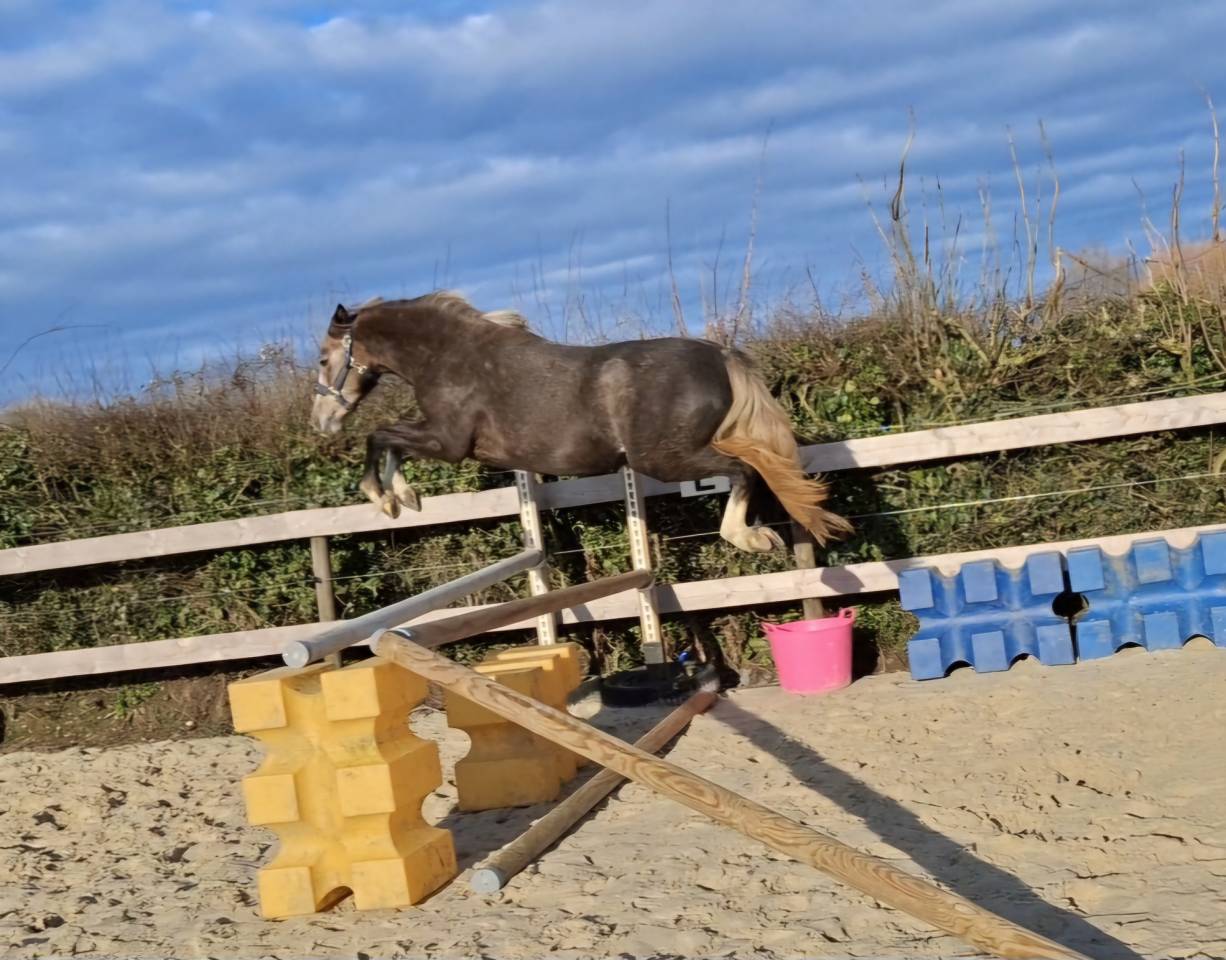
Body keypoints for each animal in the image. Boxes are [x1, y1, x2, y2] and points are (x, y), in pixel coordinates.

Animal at [310, 291, 851, 553]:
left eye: (321, 358)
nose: (321, 422)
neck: (447, 356)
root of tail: (720, 356)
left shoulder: (449, 443)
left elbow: (381, 435)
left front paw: (387, 497)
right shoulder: (445, 442)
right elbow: (388, 440)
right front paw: (404, 497)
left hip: (664, 459)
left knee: (744, 471)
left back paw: (748, 537)